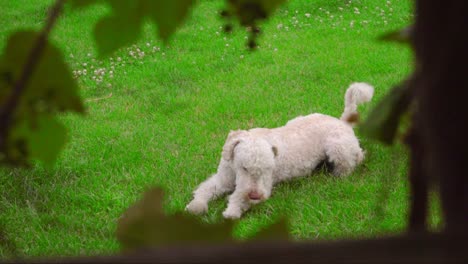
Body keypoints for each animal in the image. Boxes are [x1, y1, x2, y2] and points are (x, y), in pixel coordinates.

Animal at [186, 82, 372, 219]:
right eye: (244, 167)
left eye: (268, 169)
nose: (256, 196)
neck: (234, 171)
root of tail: (343, 122)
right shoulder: (223, 179)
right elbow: (205, 189)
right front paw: (196, 206)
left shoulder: (264, 185)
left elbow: (238, 196)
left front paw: (231, 211)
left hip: (338, 148)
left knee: (354, 160)